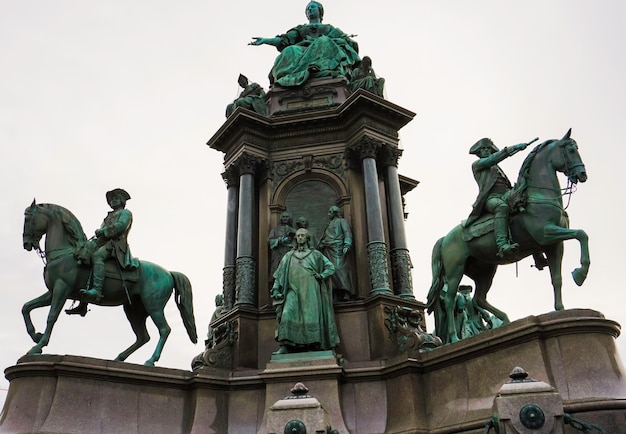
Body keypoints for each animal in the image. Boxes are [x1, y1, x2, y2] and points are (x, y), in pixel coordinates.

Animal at [22, 202, 197, 364]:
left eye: (28, 218)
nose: (26, 244)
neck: (64, 253)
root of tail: (168, 273)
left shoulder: (62, 289)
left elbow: (51, 316)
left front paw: (38, 346)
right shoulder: (52, 292)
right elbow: (26, 307)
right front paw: (35, 336)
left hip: (153, 305)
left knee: (164, 329)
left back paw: (150, 360)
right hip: (134, 309)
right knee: (143, 337)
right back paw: (119, 358)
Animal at [424, 129, 584, 342]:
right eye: (570, 150)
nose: (582, 174)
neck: (537, 196)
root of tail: (444, 239)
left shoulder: (554, 245)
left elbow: (557, 277)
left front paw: (560, 308)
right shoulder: (546, 234)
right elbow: (582, 234)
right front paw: (581, 273)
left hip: (485, 269)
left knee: (479, 298)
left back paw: (505, 320)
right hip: (455, 270)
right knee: (450, 300)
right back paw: (455, 338)